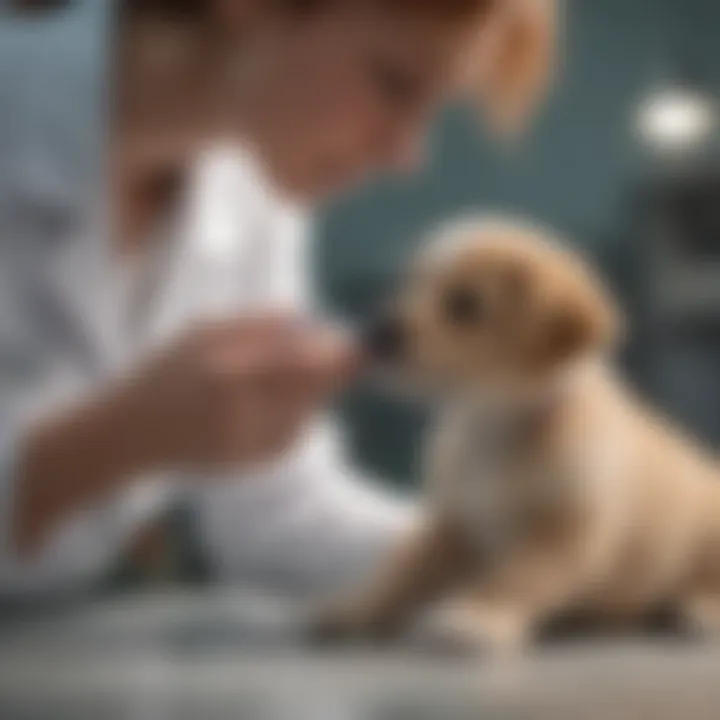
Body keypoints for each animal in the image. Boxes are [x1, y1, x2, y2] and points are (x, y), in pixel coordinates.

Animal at [314, 217, 720, 656]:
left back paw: (699, 608)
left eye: (466, 304)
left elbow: (513, 579)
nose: (377, 332)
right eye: (410, 283)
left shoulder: (561, 530)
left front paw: (476, 618)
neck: (494, 422)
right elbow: (402, 572)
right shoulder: (455, 521)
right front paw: (357, 609)